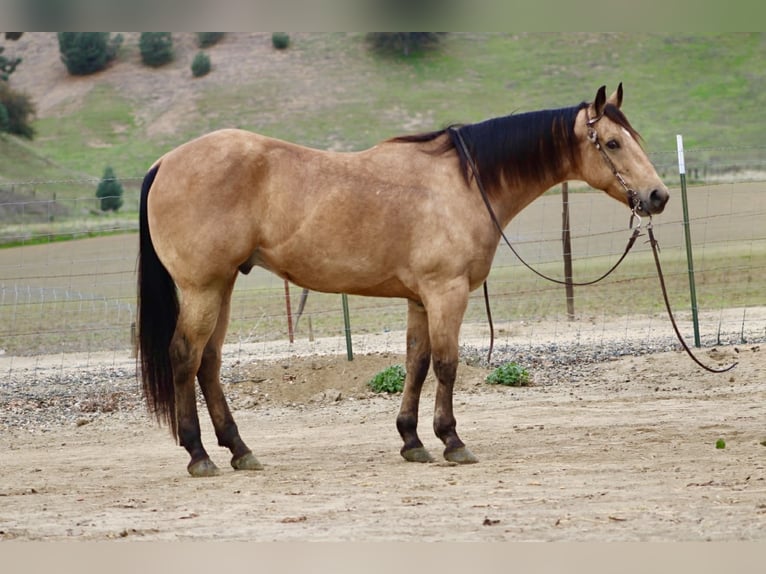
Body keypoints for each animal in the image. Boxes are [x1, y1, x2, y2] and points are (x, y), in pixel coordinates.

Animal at [137, 84, 669, 477]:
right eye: (614, 143)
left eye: (636, 137)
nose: (658, 196)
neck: (463, 183)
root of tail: (164, 162)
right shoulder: (445, 293)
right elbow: (447, 365)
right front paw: (451, 440)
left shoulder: (419, 299)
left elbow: (416, 363)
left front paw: (412, 440)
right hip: (203, 288)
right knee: (185, 356)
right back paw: (199, 454)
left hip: (222, 286)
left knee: (208, 363)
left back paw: (239, 449)